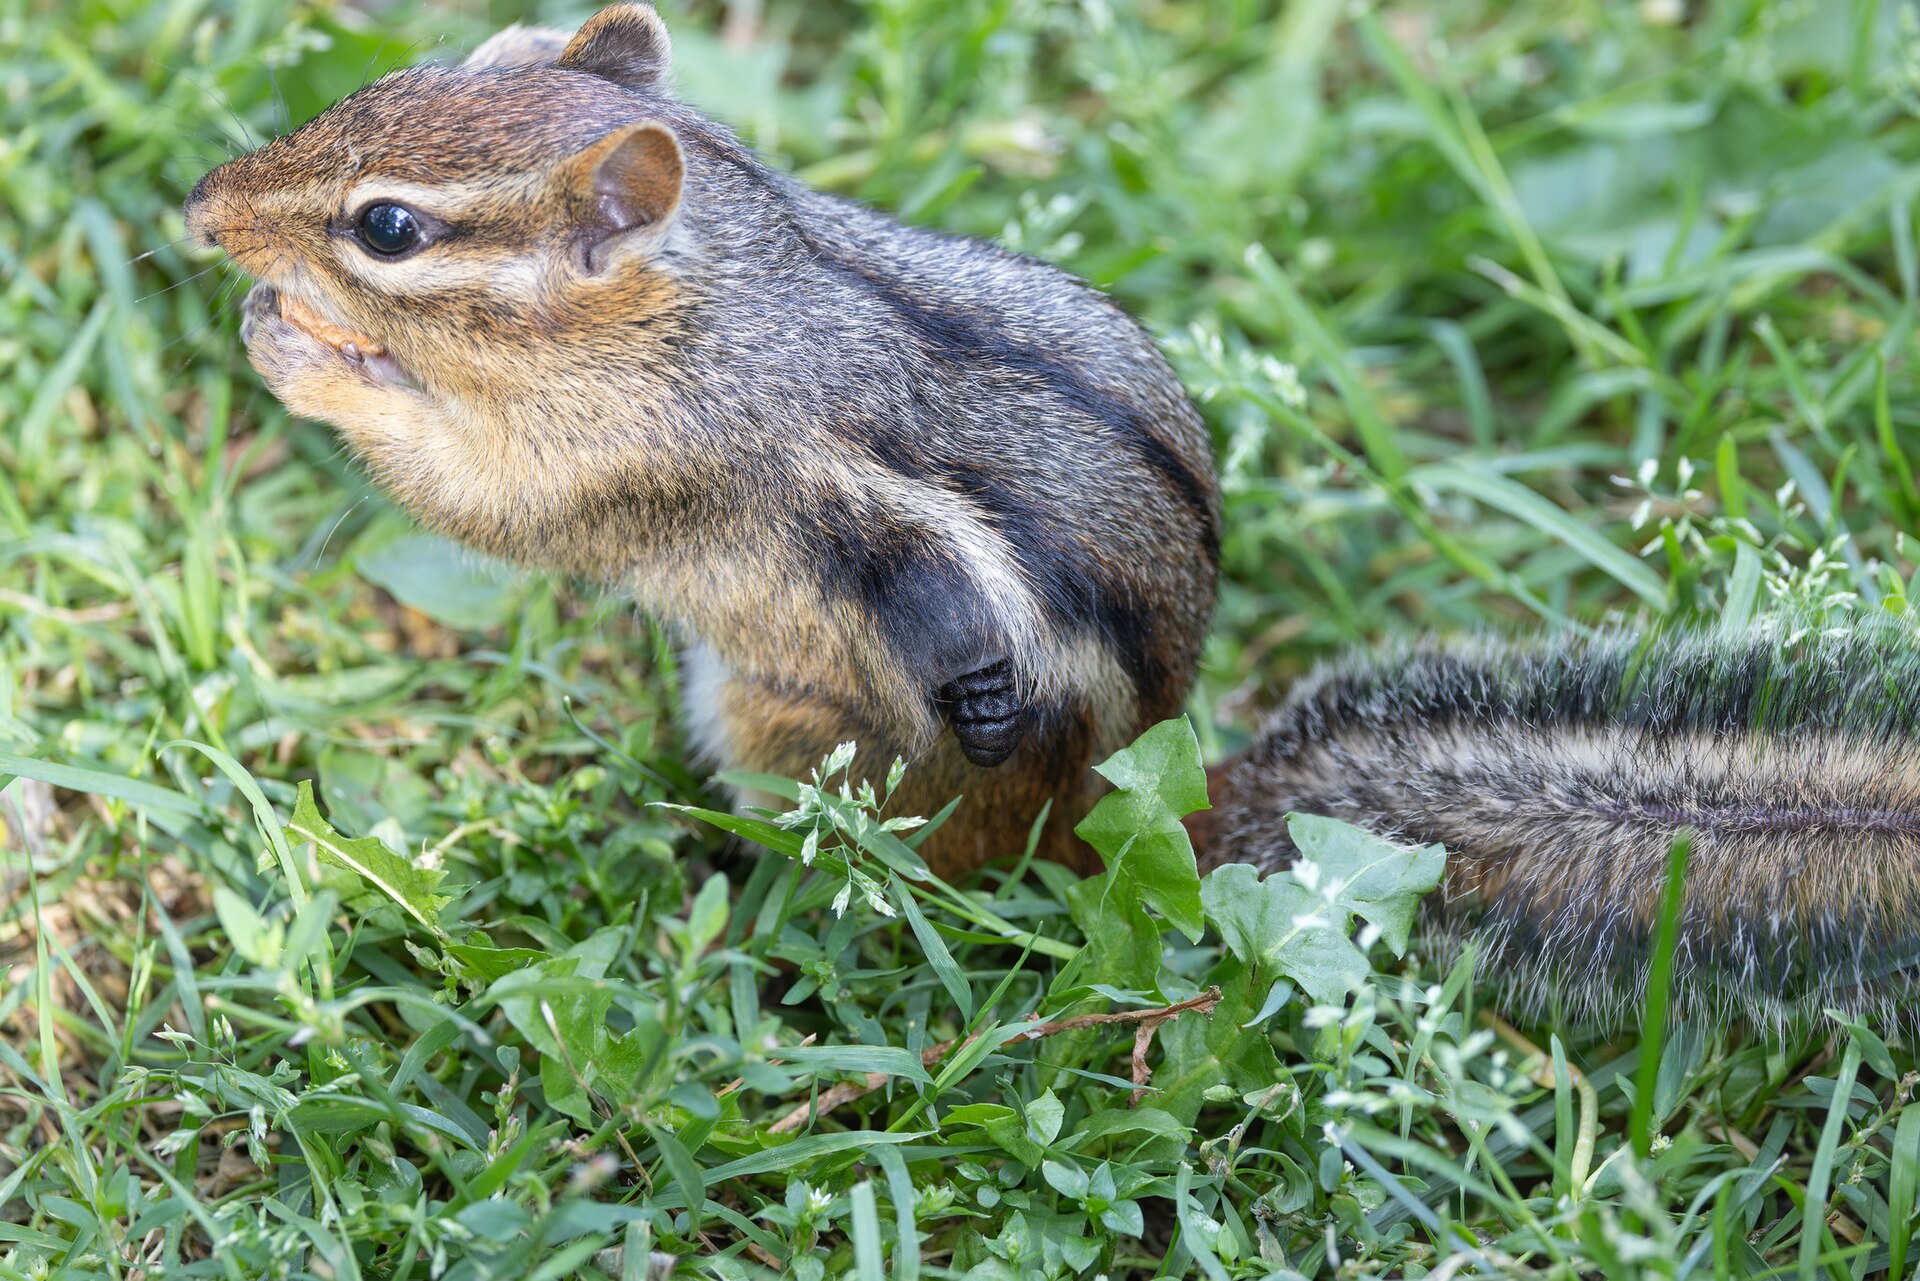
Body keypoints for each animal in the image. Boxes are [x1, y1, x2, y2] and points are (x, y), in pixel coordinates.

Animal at [185, 4, 1918, 1024]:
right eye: (385, 84)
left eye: (387, 228)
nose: (202, 211)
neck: (719, 295)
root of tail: (1133, 815)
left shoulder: (623, 461)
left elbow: (475, 498)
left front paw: (297, 348)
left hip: (786, 728)